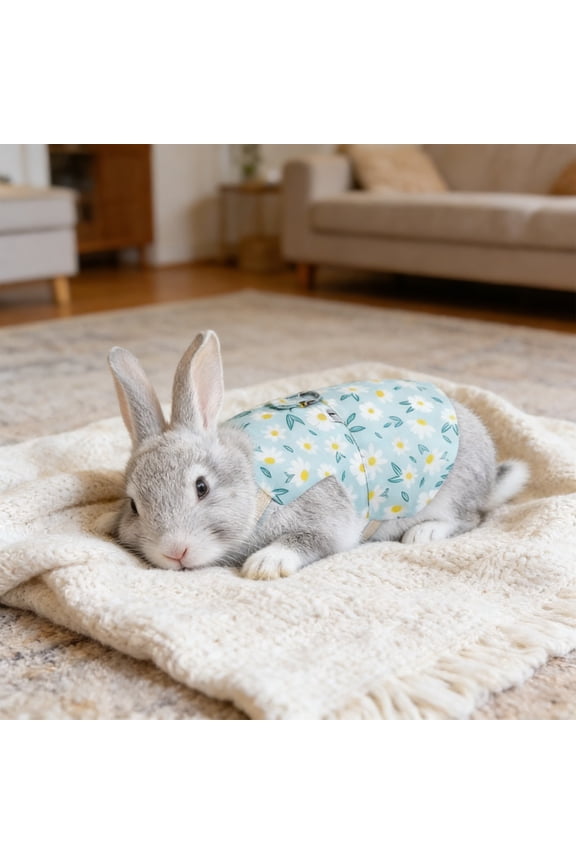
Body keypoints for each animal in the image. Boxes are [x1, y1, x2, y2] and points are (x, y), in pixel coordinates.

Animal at [107, 330, 529, 580]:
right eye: (134, 506)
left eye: (201, 487)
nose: (174, 551)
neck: (254, 482)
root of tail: (490, 475)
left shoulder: (327, 517)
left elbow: (309, 541)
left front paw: (265, 565)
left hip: (451, 493)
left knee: (471, 518)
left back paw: (423, 533)